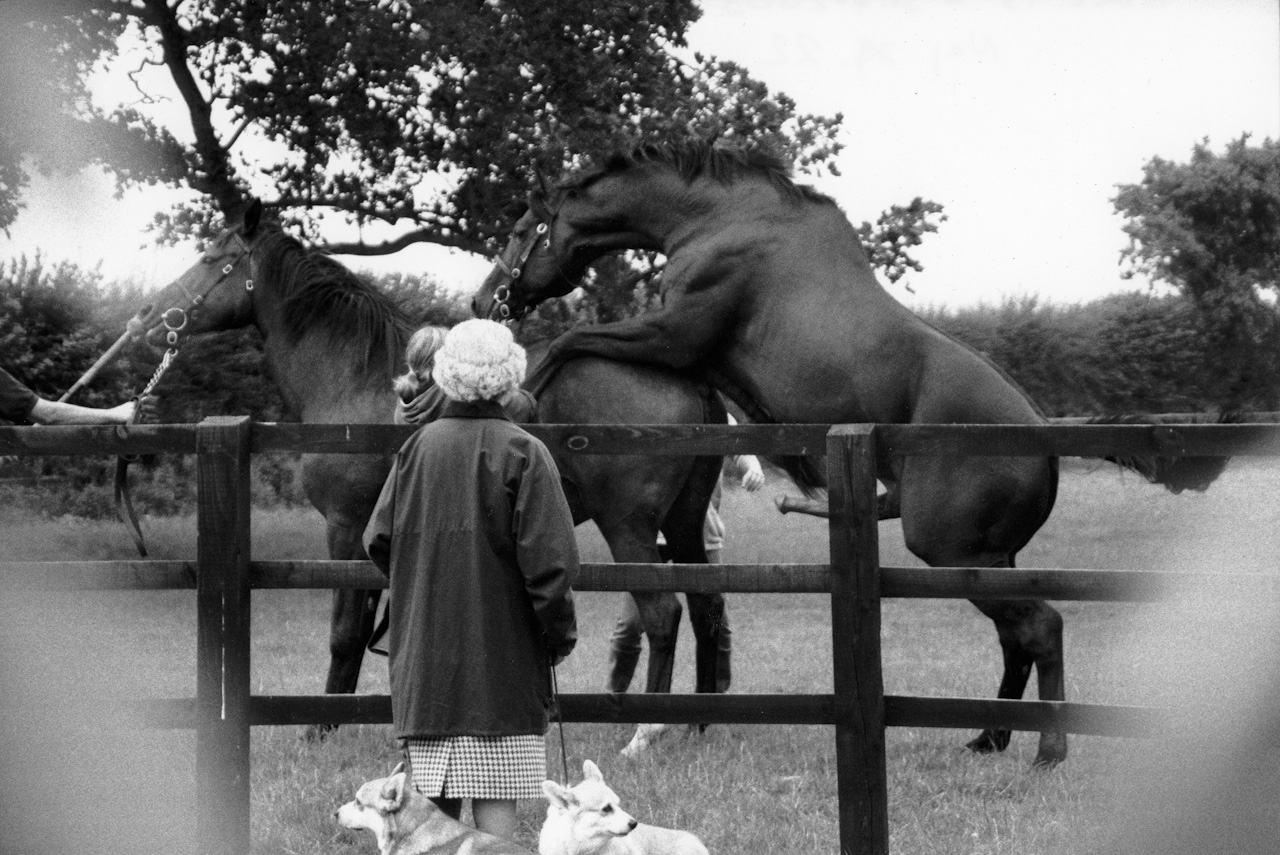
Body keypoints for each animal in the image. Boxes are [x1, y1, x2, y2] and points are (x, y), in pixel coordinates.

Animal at [136, 200, 737, 721]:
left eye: (211, 258)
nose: (145, 315)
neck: (357, 378)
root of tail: (689, 380)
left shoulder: (344, 527)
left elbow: (345, 634)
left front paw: (320, 725)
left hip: (629, 527)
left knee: (663, 617)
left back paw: (647, 732)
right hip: (683, 523)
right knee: (707, 609)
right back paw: (694, 725)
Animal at [473, 140, 1228, 767]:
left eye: (518, 231)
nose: (486, 299)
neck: (721, 221)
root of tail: (1043, 438)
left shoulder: (673, 334)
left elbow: (567, 341)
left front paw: (520, 392)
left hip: (949, 550)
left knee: (1041, 626)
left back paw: (1047, 750)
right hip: (986, 558)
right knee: (1016, 637)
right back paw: (988, 737)